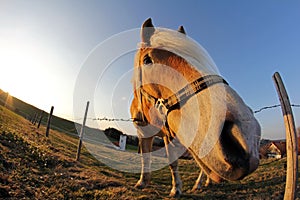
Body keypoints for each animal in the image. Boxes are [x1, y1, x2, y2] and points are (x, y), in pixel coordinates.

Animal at [130, 18, 262, 197]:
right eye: (147, 60)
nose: (246, 133)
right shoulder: (142, 132)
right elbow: (145, 157)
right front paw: (142, 182)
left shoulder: (169, 135)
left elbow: (172, 162)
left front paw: (176, 189)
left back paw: (201, 183)